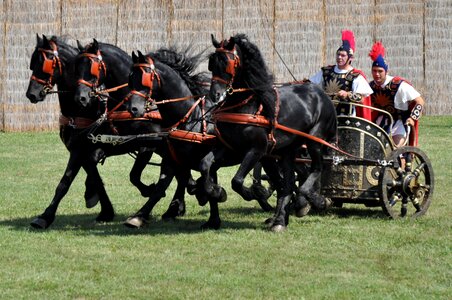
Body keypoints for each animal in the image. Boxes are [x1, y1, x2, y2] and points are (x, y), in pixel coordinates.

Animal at [24, 35, 159, 229]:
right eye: (33, 63)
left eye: (45, 63)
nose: (32, 94)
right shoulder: (79, 149)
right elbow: (70, 182)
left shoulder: (145, 145)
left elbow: (132, 175)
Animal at [123, 48, 274, 229]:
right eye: (130, 78)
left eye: (145, 77)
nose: (133, 108)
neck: (190, 119)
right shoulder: (171, 160)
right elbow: (161, 188)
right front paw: (139, 216)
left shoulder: (210, 158)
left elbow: (204, 179)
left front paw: (217, 194)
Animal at [203, 34, 338, 232]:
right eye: (211, 63)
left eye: (228, 63)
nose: (215, 95)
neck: (245, 106)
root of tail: (322, 94)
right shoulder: (229, 148)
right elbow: (206, 165)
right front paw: (216, 192)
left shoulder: (256, 150)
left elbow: (237, 181)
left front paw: (253, 192)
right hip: (286, 151)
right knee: (288, 184)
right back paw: (281, 220)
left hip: (314, 141)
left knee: (315, 169)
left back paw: (309, 201)